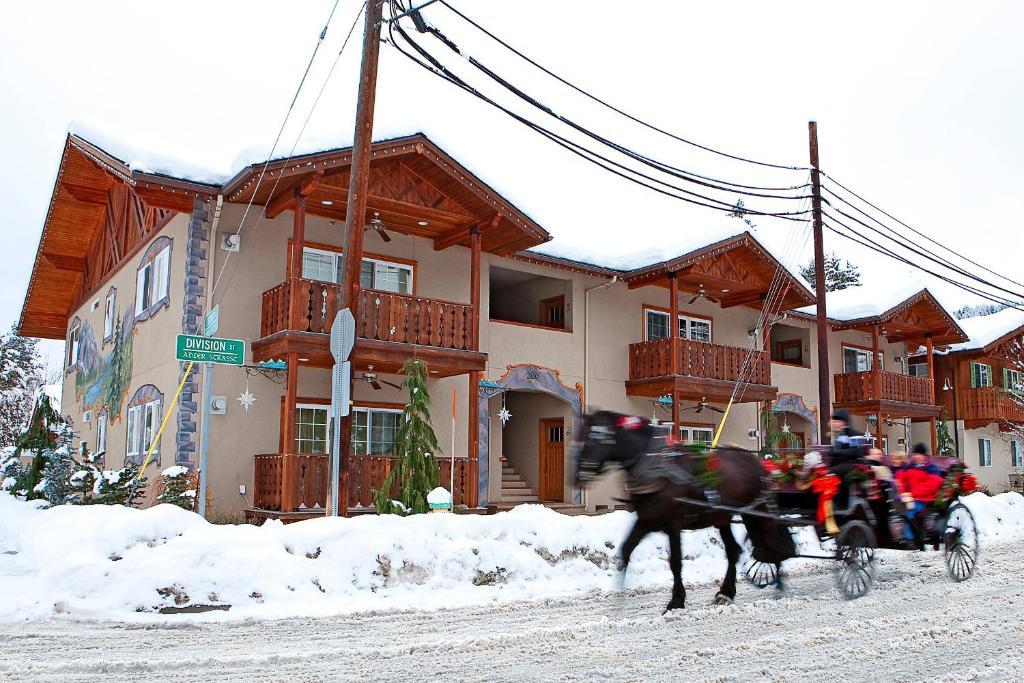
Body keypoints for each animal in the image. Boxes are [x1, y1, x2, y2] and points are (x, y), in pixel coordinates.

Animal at [577, 411, 790, 614]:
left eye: (596, 436)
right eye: (580, 436)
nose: (580, 474)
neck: (656, 467)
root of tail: (756, 461)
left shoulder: (674, 524)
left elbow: (675, 562)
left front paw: (676, 601)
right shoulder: (646, 520)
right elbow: (626, 550)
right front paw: (618, 600)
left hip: (756, 511)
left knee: (772, 538)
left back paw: (778, 582)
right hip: (723, 517)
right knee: (734, 550)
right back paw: (726, 592)